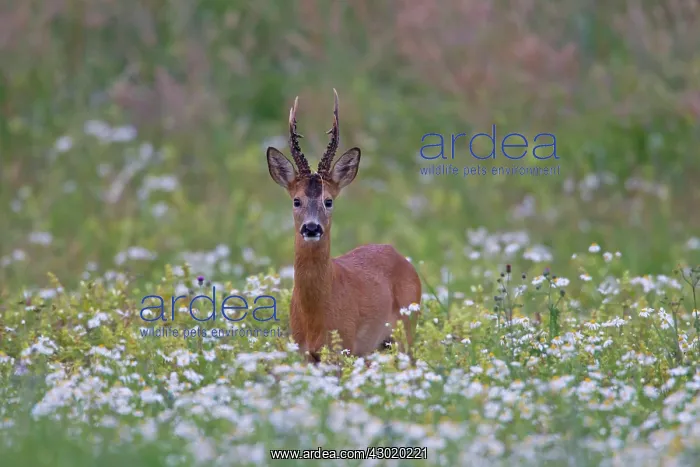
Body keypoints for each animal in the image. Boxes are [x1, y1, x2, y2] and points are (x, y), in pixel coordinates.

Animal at [265, 89, 422, 364]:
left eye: (328, 201)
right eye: (296, 200)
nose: (312, 228)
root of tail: (403, 258)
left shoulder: (343, 344)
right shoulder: (303, 350)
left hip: (405, 329)